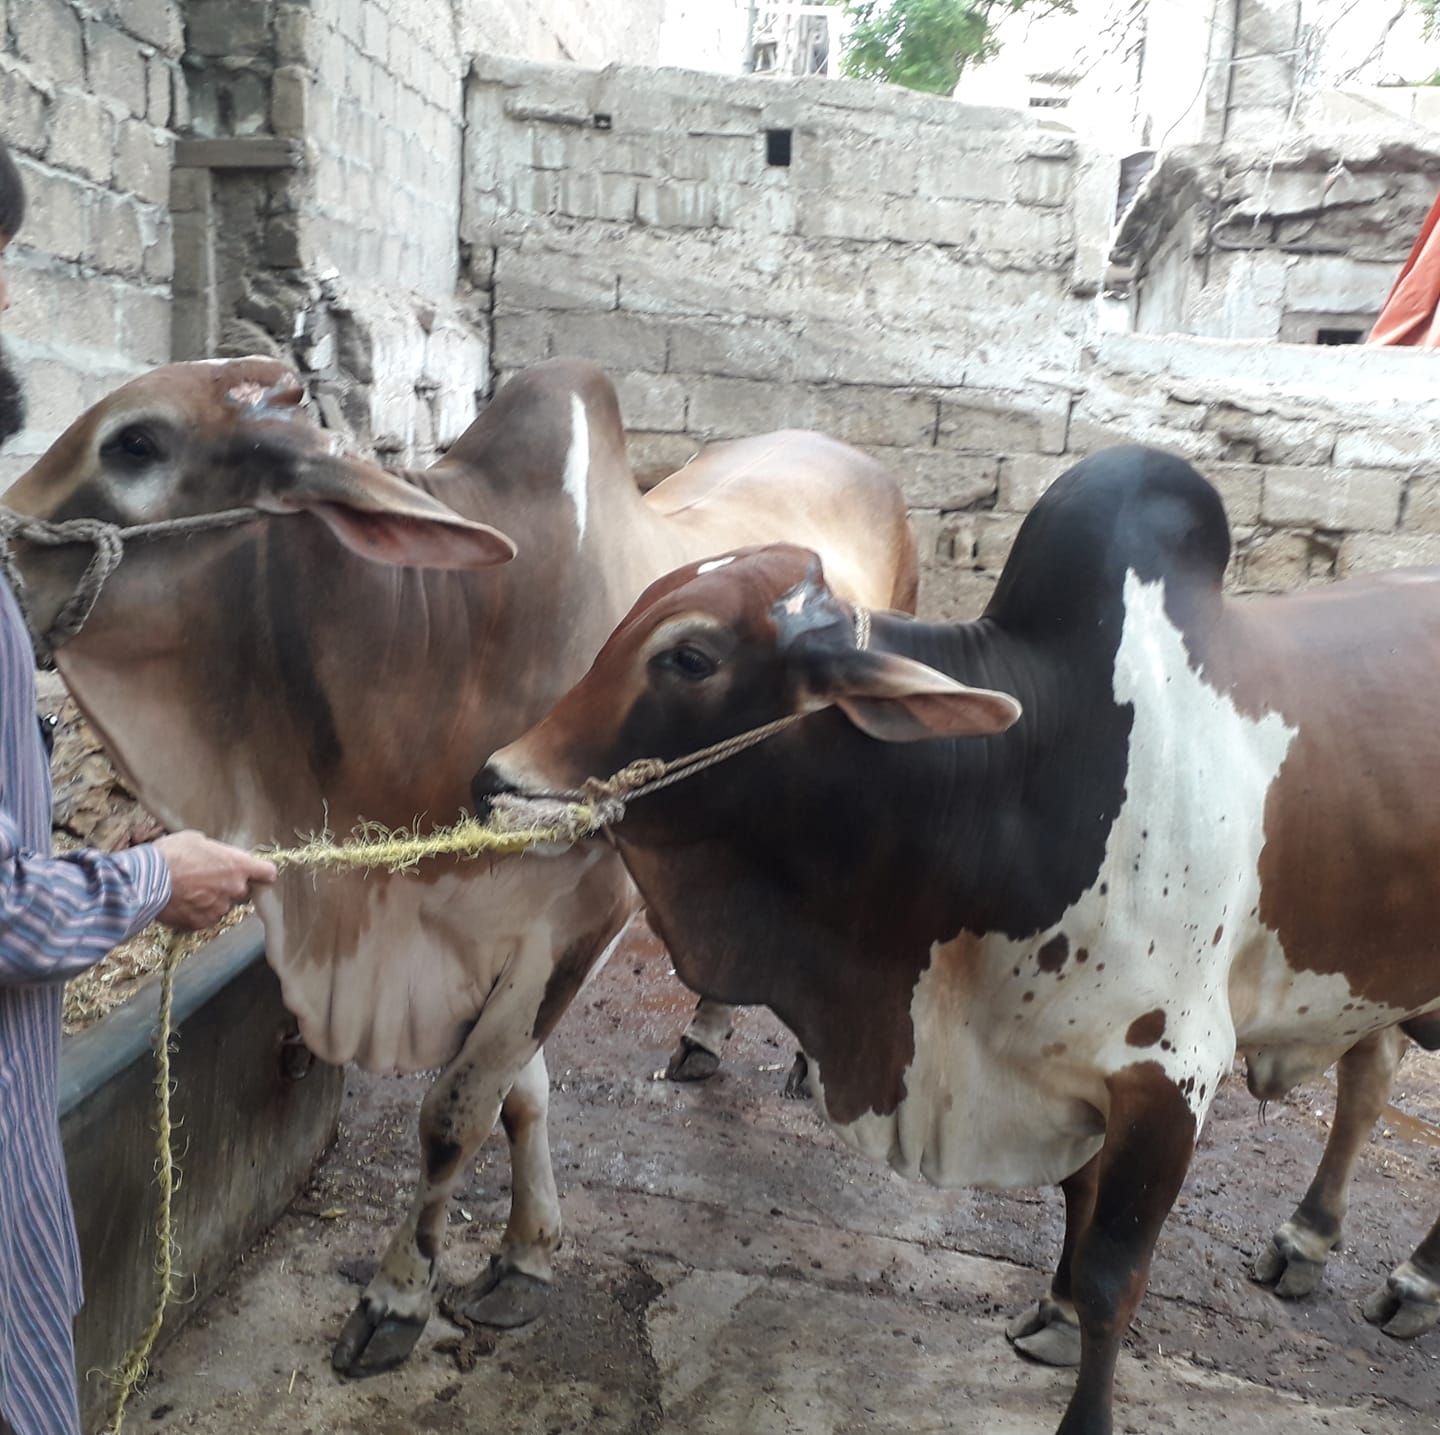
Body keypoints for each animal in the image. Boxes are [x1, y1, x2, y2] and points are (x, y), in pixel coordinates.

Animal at [2, 355, 917, 1376]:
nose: (6, 556)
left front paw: (398, 1296)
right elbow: (520, 1098)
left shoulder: (577, 918)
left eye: (136, 443)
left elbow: (453, 1116)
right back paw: (708, 1032)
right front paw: (523, 1255)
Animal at [476, 444, 1440, 1435]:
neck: (1027, 778)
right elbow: (1078, 1197)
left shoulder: (1172, 1071)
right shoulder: (1064, 1064)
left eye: (690, 655)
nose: (495, 782)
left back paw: (1408, 1278)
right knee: (1369, 1075)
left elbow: (1115, 1275)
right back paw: (1315, 1242)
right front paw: (1053, 1310)